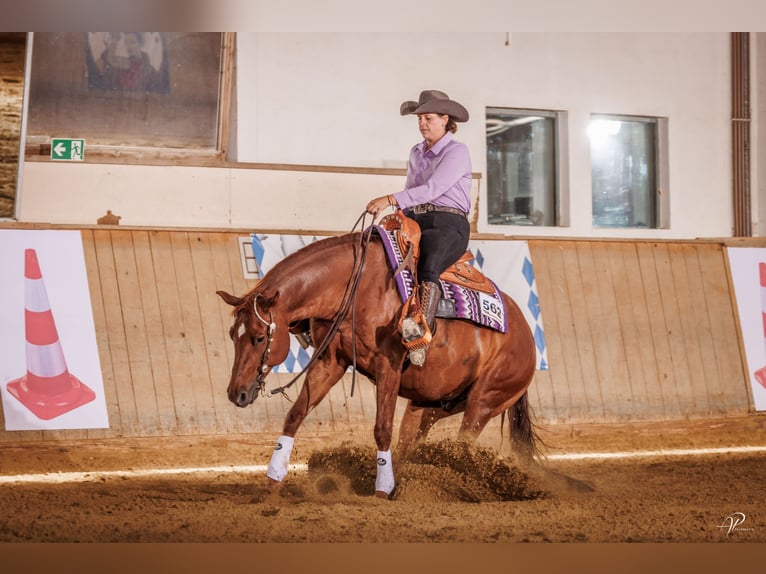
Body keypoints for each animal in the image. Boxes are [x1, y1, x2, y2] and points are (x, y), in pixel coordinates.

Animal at [216, 227, 539, 499]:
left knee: (462, 444)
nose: (236, 393)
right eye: (233, 334)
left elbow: (382, 429)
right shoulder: (330, 362)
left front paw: (382, 490)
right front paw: (273, 480)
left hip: (484, 401)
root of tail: (525, 334)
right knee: (414, 439)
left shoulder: (388, 367)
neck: (354, 286)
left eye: (259, 338)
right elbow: (295, 416)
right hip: (434, 404)